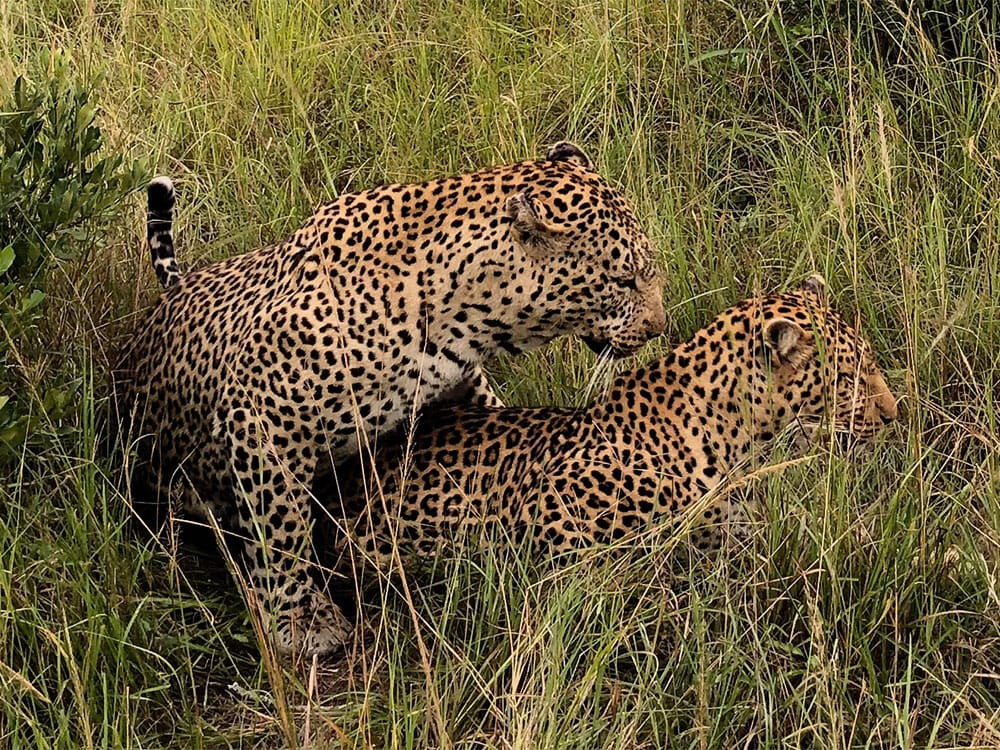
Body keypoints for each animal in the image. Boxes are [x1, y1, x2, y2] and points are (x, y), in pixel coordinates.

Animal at [113, 142, 668, 656]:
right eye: (623, 280)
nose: (659, 328)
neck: (458, 314)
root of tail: (175, 289)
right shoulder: (262, 415)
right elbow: (281, 525)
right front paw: (303, 620)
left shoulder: (459, 387)